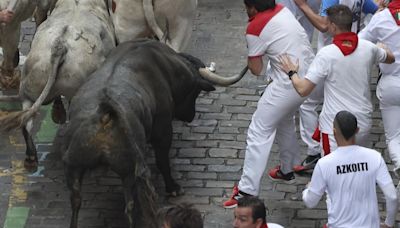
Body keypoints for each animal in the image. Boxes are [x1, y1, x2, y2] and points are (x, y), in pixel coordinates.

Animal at [53, 39, 247, 228]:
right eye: (196, 92)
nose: (190, 116)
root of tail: (104, 115)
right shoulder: (163, 129)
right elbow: (162, 160)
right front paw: (173, 187)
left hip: (74, 166)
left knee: (76, 201)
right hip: (129, 169)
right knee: (130, 206)